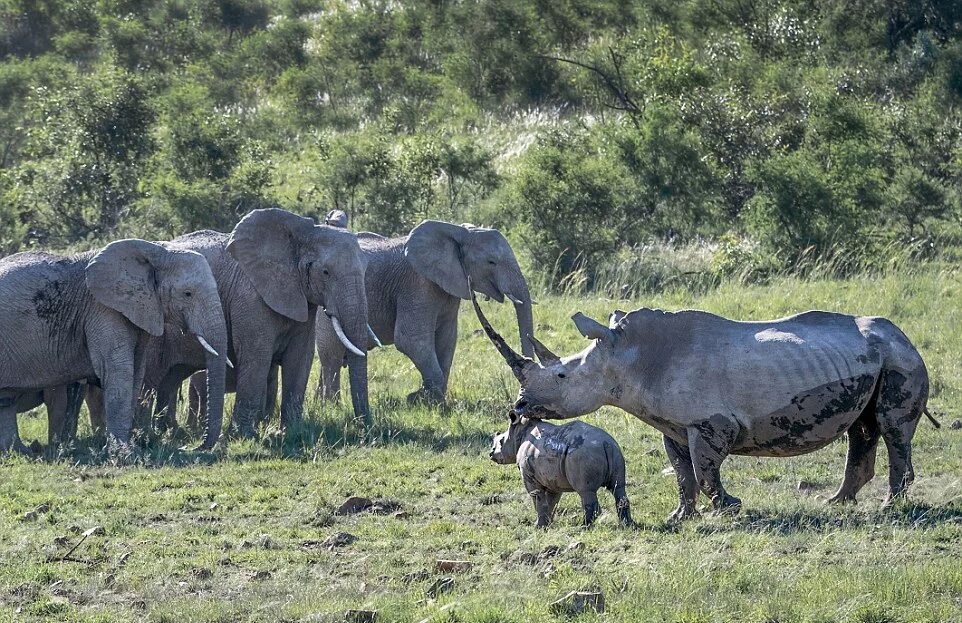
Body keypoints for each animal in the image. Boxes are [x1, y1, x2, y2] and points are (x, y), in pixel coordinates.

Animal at [0, 240, 229, 454]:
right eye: (188, 294)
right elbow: (119, 370)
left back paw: (20, 451)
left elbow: (136, 371)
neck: (156, 250)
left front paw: (129, 447)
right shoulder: (102, 310)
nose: (193, 446)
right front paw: (124, 453)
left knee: (7, 399)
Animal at [109, 207, 368, 436]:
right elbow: (257, 357)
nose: (364, 427)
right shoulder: (251, 298)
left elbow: (300, 358)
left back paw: (171, 432)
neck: (300, 235)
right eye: (325, 272)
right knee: (153, 377)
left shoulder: (301, 298)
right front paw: (245, 435)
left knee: (170, 379)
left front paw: (291, 431)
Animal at [318, 218, 536, 404]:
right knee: (331, 354)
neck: (457, 232)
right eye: (491, 262)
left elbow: (447, 340)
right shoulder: (417, 284)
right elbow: (411, 340)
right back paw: (332, 405)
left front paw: (427, 399)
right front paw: (422, 400)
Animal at [488, 412, 632, 528]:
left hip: (582, 455)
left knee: (586, 491)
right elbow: (551, 502)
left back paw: (583, 527)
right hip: (615, 451)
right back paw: (628, 525)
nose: (491, 454)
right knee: (619, 488)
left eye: (501, 441)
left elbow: (538, 499)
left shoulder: (529, 476)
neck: (520, 431)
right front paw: (547, 524)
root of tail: (605, 443)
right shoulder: (552, 479)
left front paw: (538, 527)